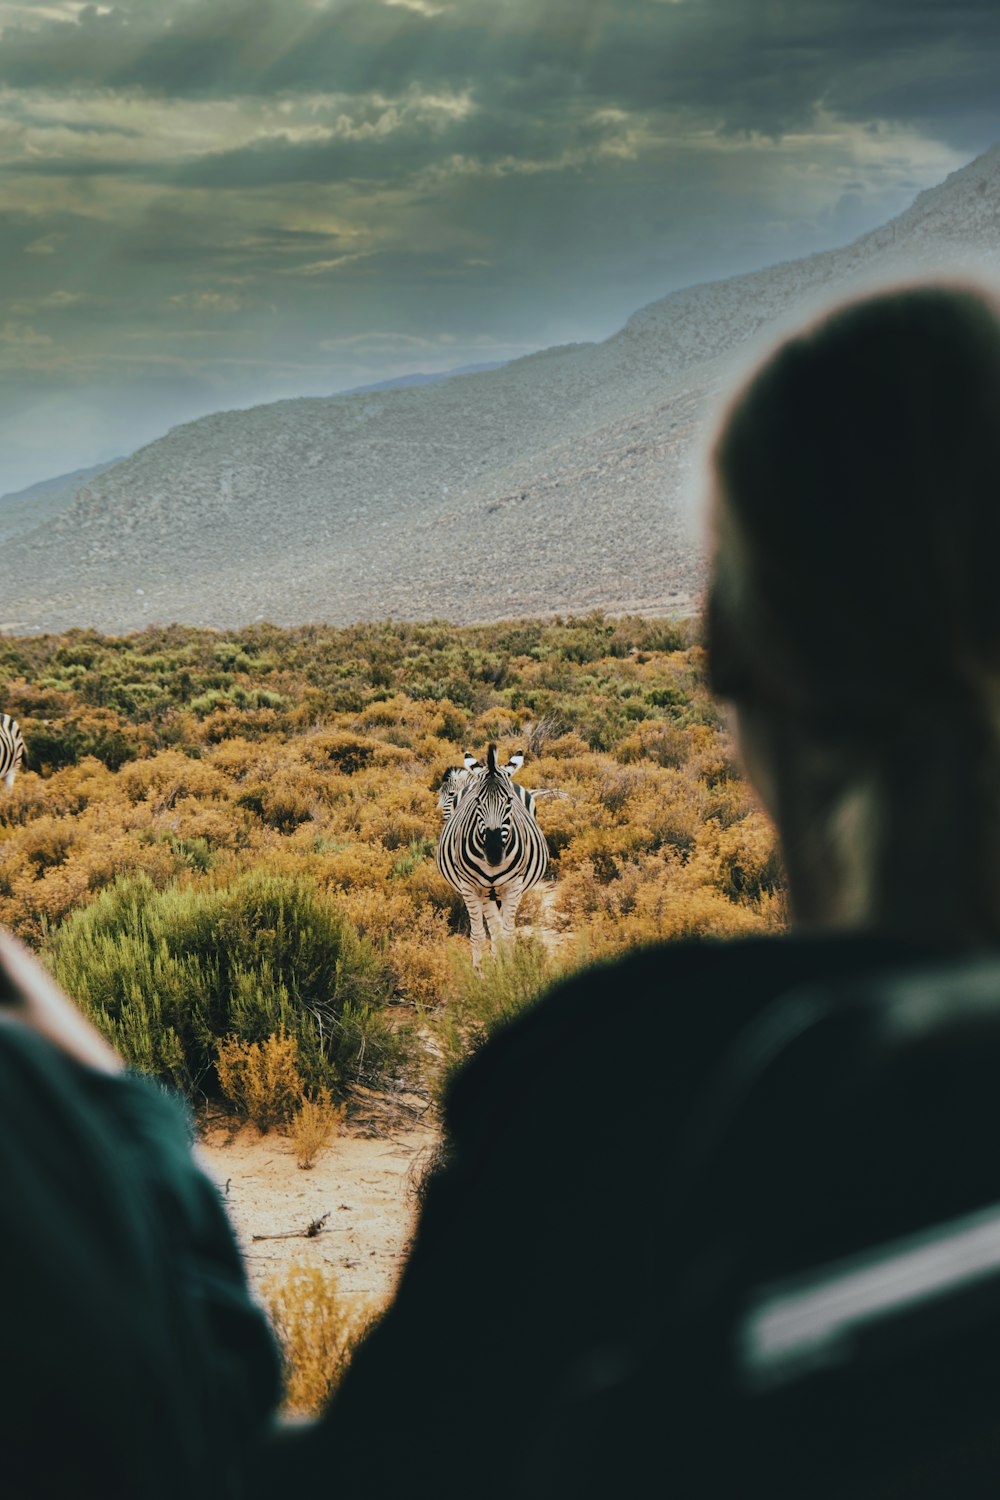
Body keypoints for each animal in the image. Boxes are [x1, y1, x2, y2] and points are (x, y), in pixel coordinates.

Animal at [434, 741, 551, 972]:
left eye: (509, 801)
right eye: (477, 801)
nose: (494, 854)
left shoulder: (513, 887)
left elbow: (507, 935)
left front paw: (509, 973)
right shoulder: (470, 888)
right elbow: (479, 936)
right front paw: (480, 975)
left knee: (501, 930)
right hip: (486, 894)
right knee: (494, 929)